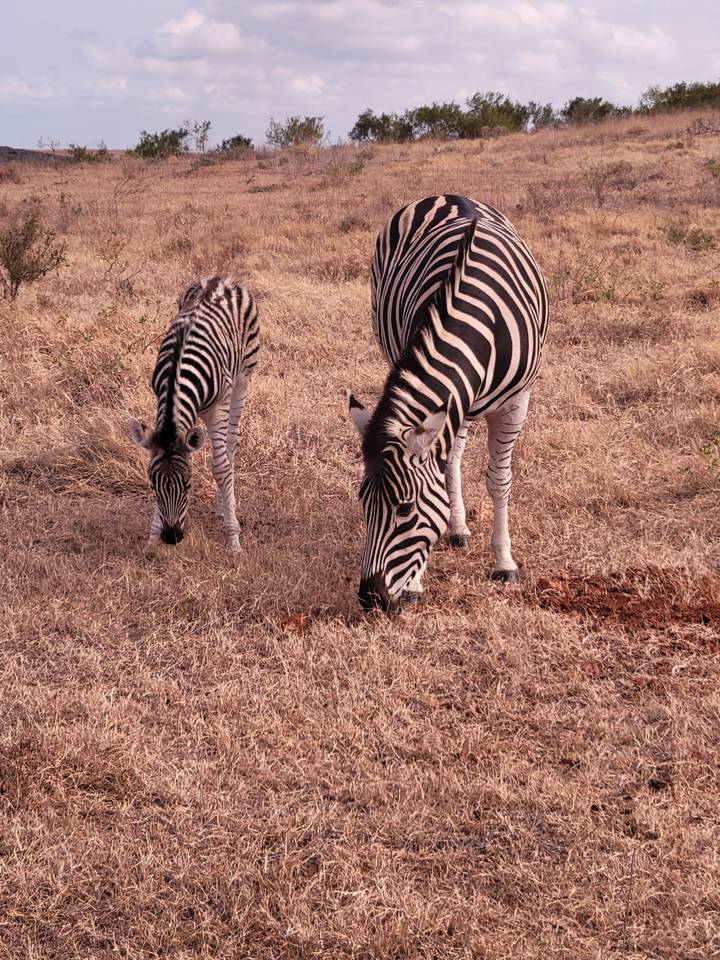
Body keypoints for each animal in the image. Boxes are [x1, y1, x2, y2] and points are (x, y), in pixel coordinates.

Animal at [129, 276, 259, 555]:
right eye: (153, 486)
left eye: (188, 484)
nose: (171, 537)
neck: (177, 375)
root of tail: (220, 279)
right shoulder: (160, 400)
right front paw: (151, 539)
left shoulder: (218, 407)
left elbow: (221, 468)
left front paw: (233, 539)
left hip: (242, 380)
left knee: (230, 447)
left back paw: (224, 508)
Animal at [347, 195, 548, 613]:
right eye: (362, 502)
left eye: (405, 508)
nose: (370, 598)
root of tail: (444, 196)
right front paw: (416, 583)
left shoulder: (516, 403)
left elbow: (499, 481)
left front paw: (504, 563)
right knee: (450, 456)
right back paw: (457, 528)